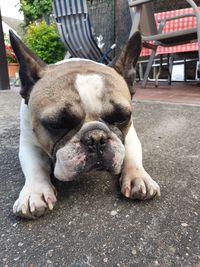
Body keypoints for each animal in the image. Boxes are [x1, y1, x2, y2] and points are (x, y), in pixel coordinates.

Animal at [9, 30, 160, 220]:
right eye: (57, 124)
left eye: (122, 117)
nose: (96, 138)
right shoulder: (29, 143)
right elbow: (34, 166)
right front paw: (34, 192)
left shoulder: (130, 134)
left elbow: (131, 154)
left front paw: (138, 177)